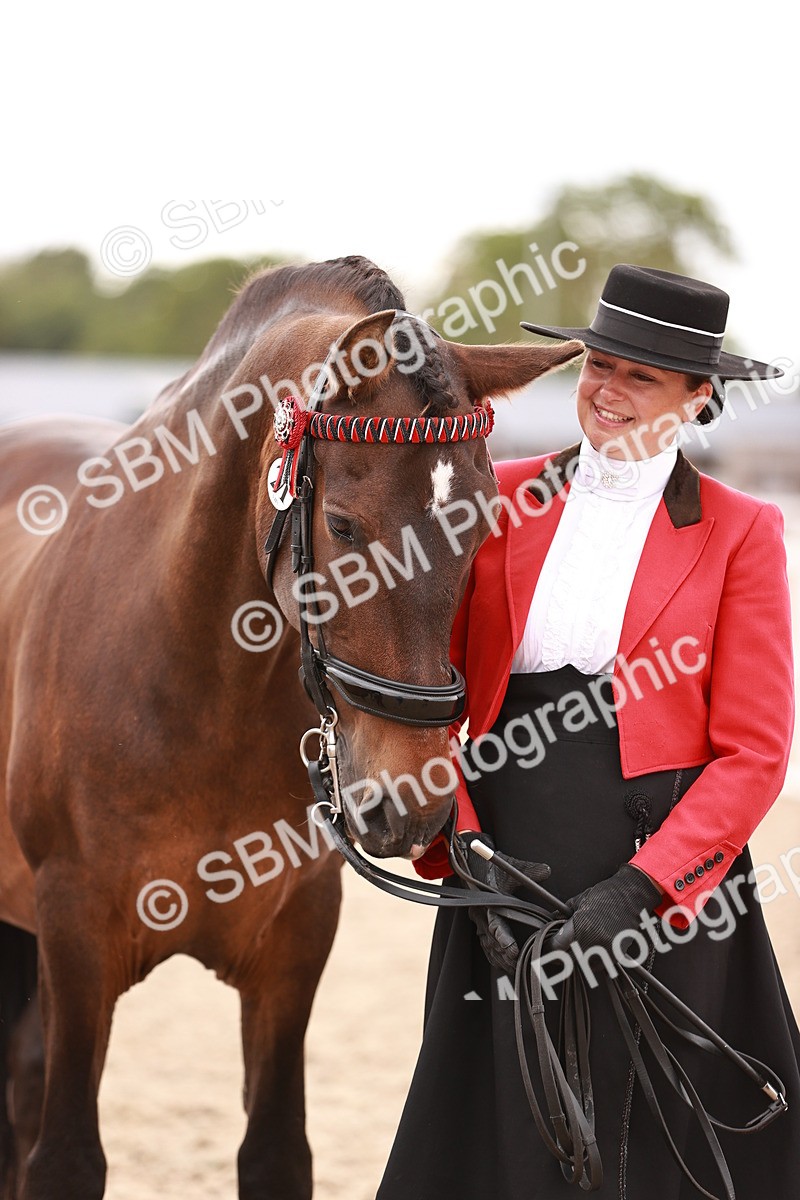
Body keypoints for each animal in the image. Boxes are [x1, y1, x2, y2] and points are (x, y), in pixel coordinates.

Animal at [0, 254, 582, 1199]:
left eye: (481, 528)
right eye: (344, 526)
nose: (411, 806)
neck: (198, 683)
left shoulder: (295, 945)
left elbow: (276, 1151)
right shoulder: (74, 933)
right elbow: (67, 1158)